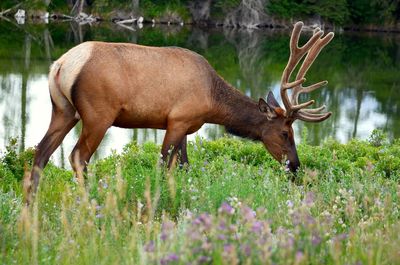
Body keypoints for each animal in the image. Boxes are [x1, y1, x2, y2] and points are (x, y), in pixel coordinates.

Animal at [26, 21, 334, 201]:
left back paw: (30, 208)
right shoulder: (178, 119)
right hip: (97, 114)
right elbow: (164, 163)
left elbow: (183, 165)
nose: (294, 165)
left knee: (40, 152)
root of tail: (61, 65)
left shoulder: (186, 125)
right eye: (285, 133)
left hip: (63, 110)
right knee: (78, 156)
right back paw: (89, 203)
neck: (213, 101)